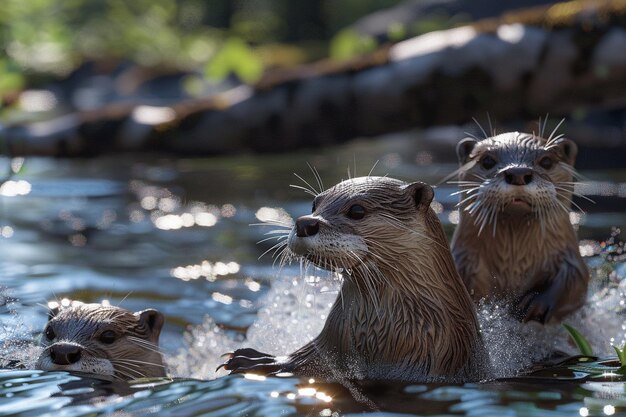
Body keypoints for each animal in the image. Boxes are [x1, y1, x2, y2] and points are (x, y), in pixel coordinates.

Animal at [448, 132, 588, 324]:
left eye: (546, 161)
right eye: (487, 160)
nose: (518, 173)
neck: (514, 265)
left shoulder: (569, 258)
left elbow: (576, 280)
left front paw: (534, 304)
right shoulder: (462, 260)